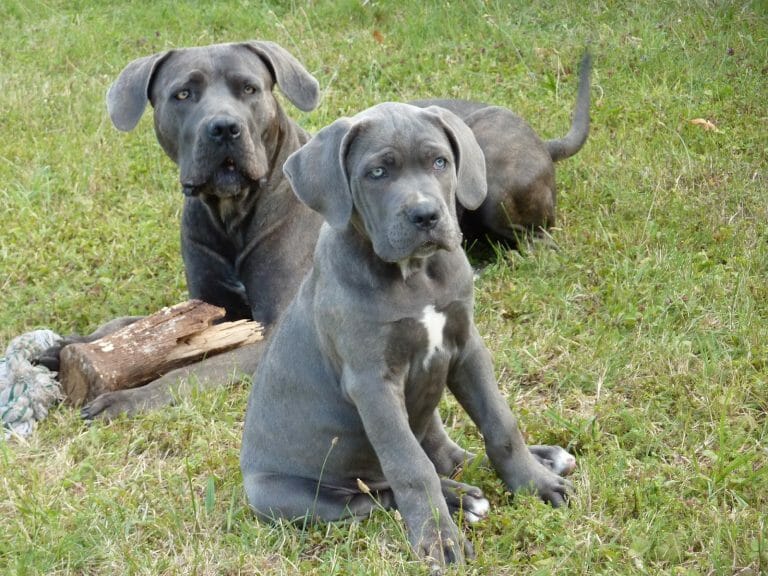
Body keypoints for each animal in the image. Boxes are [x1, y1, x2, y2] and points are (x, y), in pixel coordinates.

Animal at [243, 102, 572, 568]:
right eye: (377, 172)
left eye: (440, 162)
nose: (426, 215)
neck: (415, 276)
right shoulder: (373, 384)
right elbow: (410, 468)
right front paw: (439, 539)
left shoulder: (467, 348)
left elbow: (500, 423)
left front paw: (533, 483)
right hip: (287, 496)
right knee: (378, 494)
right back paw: (461, 500)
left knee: (446, 456)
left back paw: (537, 463)